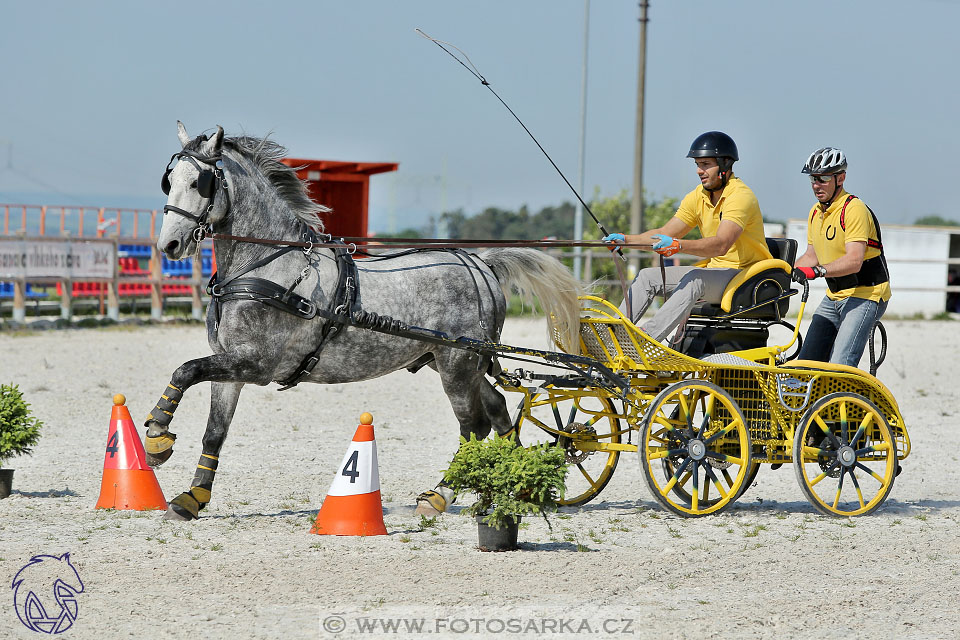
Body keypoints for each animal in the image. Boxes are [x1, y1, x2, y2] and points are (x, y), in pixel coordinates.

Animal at [145, 124, 580, 520]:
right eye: (169, 181)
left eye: (200, 183)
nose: (169, 245)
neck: (263, 267)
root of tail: (481, 264)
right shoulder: (229, 364)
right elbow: (215, 430)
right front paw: (192, 497)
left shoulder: (256, 365)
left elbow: (184, 370)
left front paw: (157, 437)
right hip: (457, 362)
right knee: (497, 408)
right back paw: (517, 485)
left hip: (457, 365)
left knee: (473, 424)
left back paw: (441, 495)